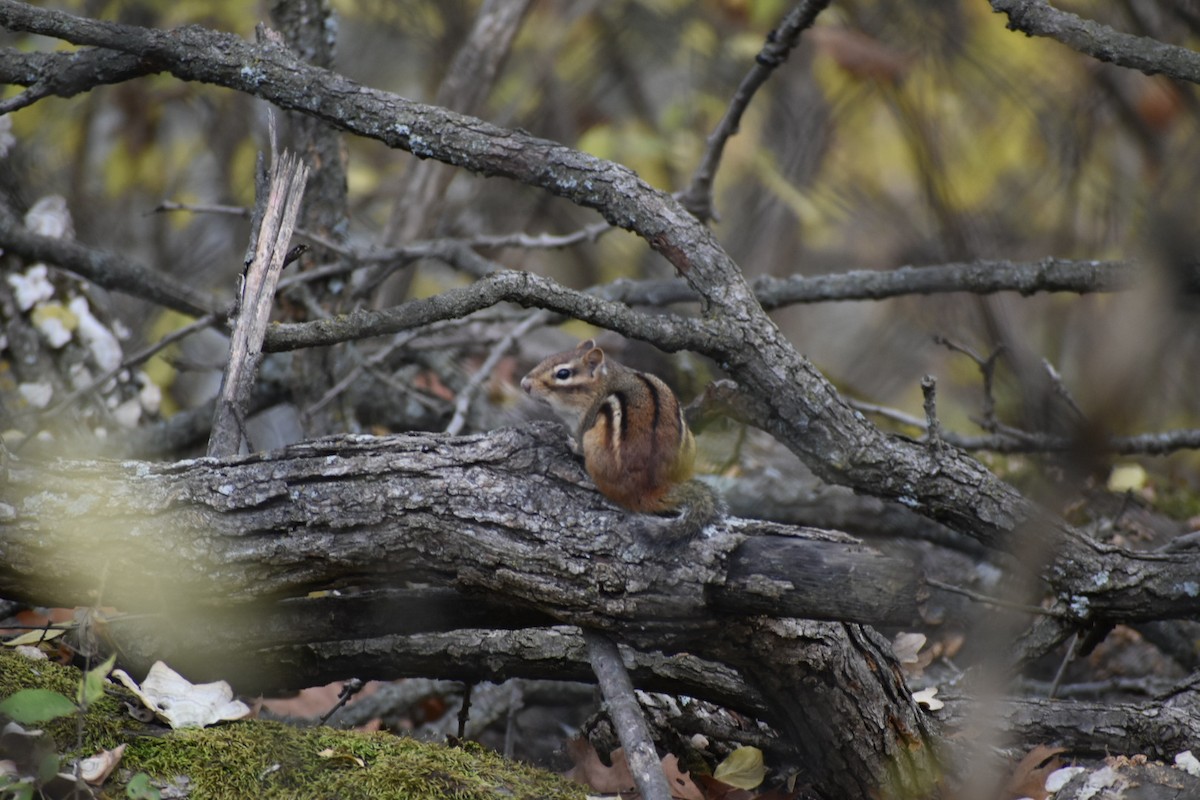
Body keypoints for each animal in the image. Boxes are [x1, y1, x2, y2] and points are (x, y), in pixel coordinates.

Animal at [521, 338, 718, 540]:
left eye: (563, 373)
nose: (524, 384)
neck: (602, 385)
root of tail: (648, 490)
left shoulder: (585, 424)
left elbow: (578, 445)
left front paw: (571, 444)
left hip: (593, 442)